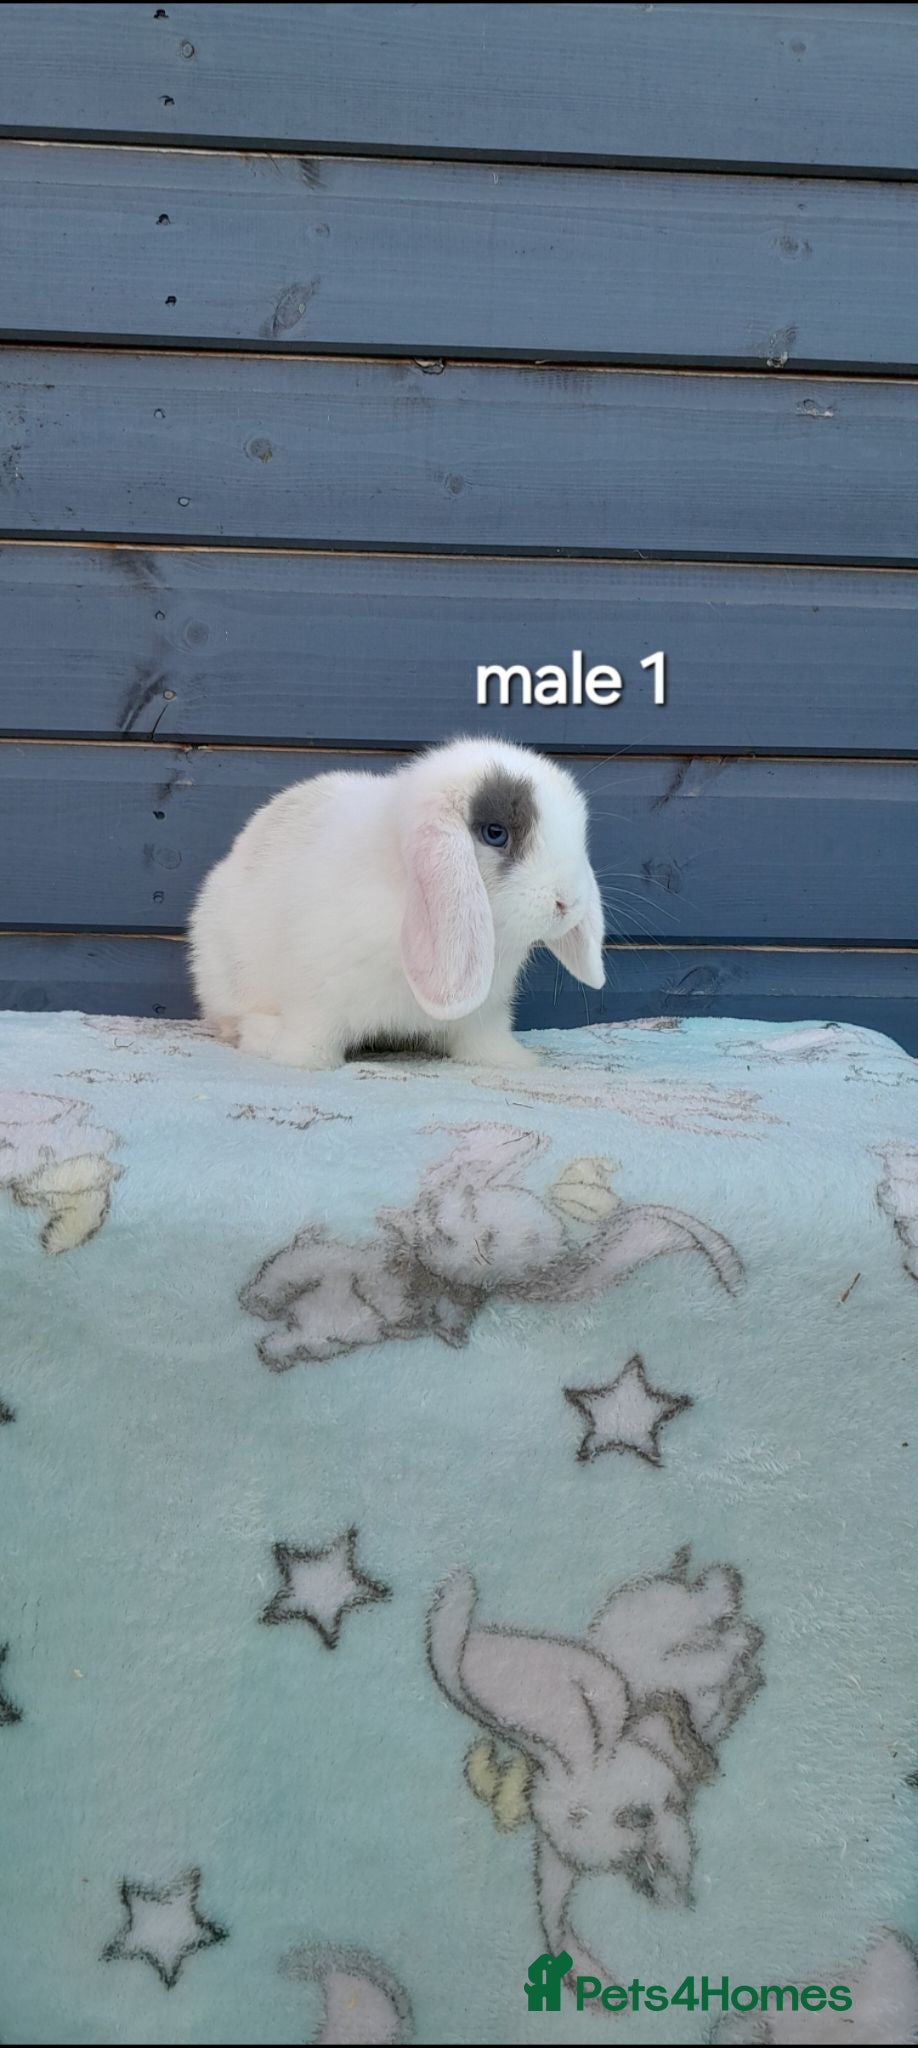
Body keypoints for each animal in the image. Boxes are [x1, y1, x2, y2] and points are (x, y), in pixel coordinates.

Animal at [188, 735, 605, 1070]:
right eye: (495, 833)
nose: (568, 902)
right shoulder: (315, 995)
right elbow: (313, 1034)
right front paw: (305, 1062)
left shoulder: (484, 1013)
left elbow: (482, 1040)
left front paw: (511, 1061)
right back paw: (261, 1034)